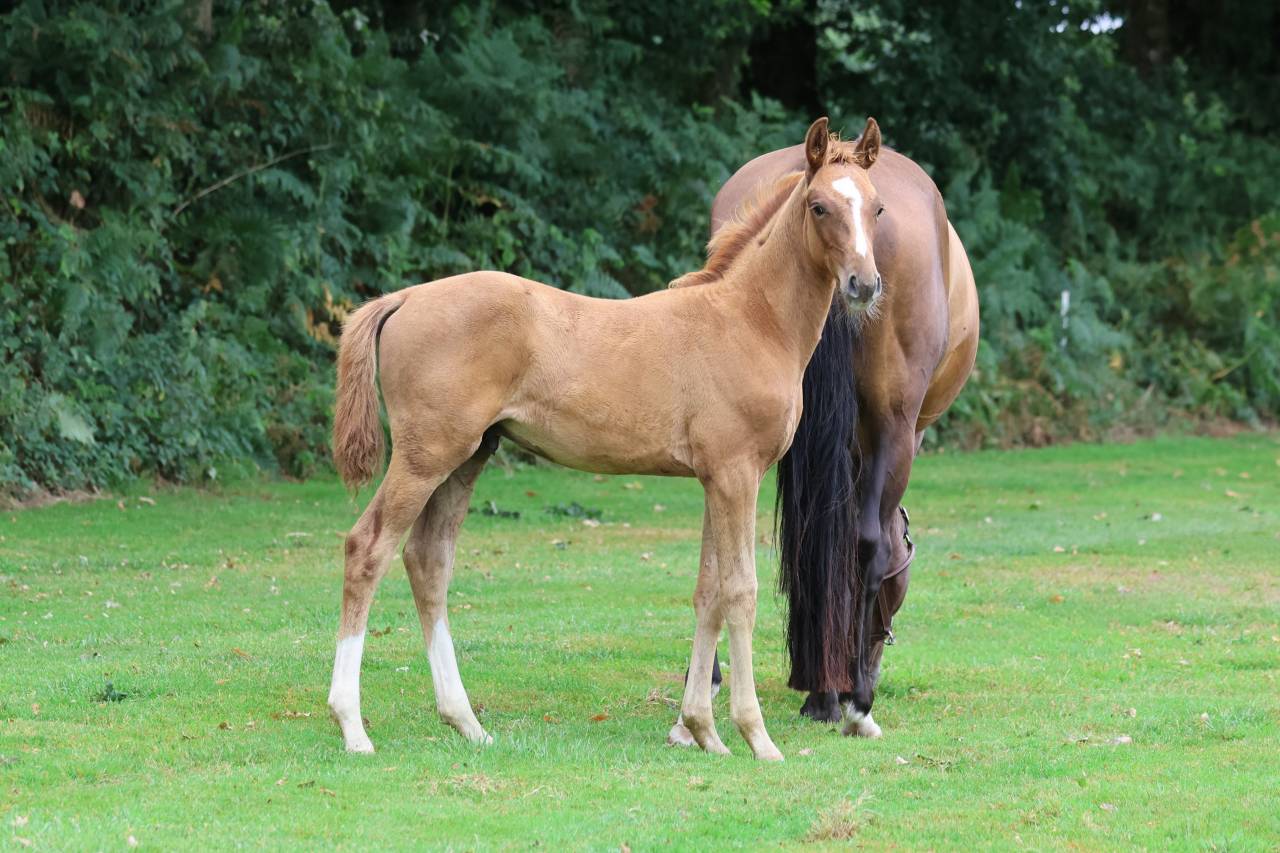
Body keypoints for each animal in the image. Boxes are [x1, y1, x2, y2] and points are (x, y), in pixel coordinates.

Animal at [325, 117, 885, 761]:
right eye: (820, 206)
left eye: (877, 207)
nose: (865, 284)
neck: (749, 321)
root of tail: (406, 297)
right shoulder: (736, 473)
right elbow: (739, 593)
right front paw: (755, 736)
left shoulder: (713, 479)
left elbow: (707, 593)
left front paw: (702, 730)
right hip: (425, 457)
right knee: (368, 550)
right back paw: (352, 726)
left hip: (468, 456)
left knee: (428, 560)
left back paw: (465, 721)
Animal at [668, 118, 979, 743]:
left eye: (874, 209)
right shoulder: (897, 434)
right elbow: (872, 546)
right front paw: (847, 692)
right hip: (895, 426)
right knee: (865, 545)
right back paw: (852, 698)